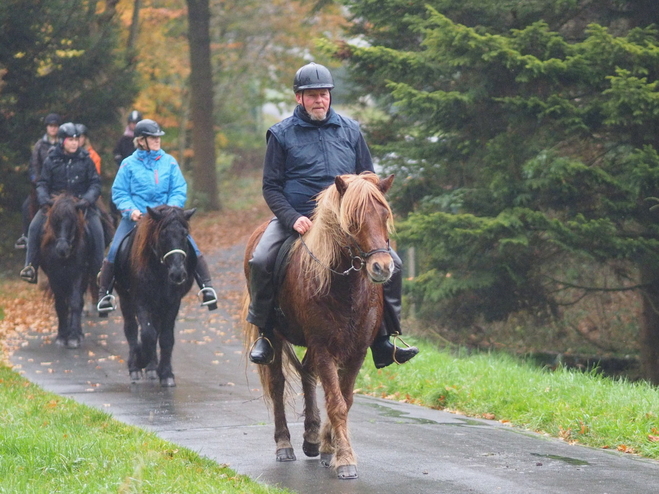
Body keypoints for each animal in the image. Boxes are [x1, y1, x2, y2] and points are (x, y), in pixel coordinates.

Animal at [40, 193, 98, 348]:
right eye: (54, 221)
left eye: (73, 221)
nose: (62, 249)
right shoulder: (54, 276)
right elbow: (61, 304)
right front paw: (61, 336)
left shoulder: (78, 274)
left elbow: (75, 302)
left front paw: (73, 337)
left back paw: (78, 333)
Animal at [114, 204, 197, 386]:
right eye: (163, 234)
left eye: (184, 234)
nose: (178, 274)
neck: (159, 270)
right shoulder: (141, 302)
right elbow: (147, 334)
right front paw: (139, 359)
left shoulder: (172, 303)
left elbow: (165, 338)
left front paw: (166, 374)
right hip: (126, 300)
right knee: (131, 329)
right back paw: (136, 368)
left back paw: (152, 367)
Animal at [244, 173, 394, 478]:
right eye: (353, 220)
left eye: (384, 215)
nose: (382, 267)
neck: (345, 287)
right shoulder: (324, 346)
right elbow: (336, 403)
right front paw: (345, 459)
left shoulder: (356, 350)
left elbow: (345, 399)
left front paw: (329, 448)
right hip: (275, 337)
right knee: (278, 385)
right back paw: (284, 445)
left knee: (307, 373)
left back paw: (313, 440)